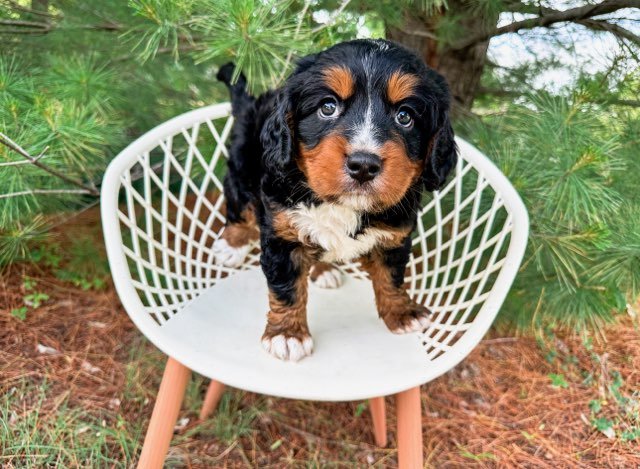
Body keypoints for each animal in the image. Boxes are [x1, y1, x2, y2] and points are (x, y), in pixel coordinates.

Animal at [212, 39, 458, 362]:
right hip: (243, 165)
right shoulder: (282, 233)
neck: (343, 204)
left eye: (405, 116)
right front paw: (287, 334)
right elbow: (287, 288)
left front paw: (402, 312)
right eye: (327, 107)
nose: (363, 164)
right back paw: (232, 244)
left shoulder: (395, 236)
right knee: (239, 206)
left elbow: (391, 276)